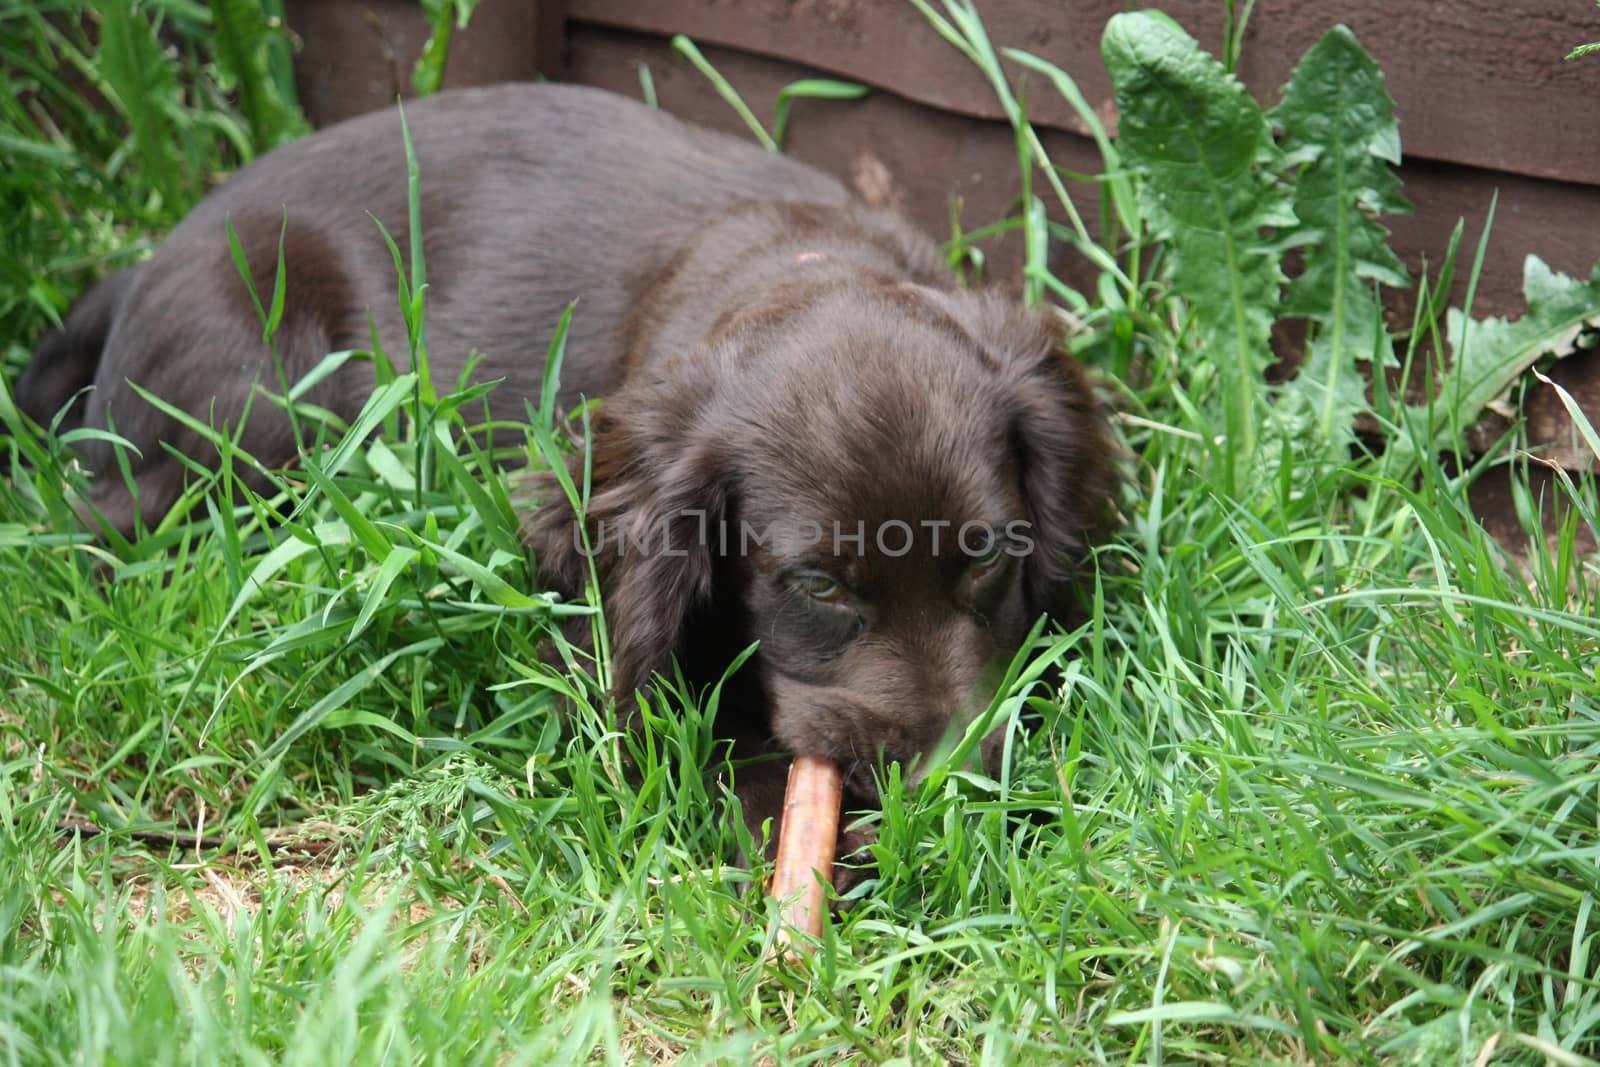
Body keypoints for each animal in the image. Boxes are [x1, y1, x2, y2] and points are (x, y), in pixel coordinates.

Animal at [18, 81, 1113, 870]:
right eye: (817, 586)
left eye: (990, 559)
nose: (951, 789)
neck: (796, 261)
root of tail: (147, 262)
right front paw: (781, 819)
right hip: (263, 397)